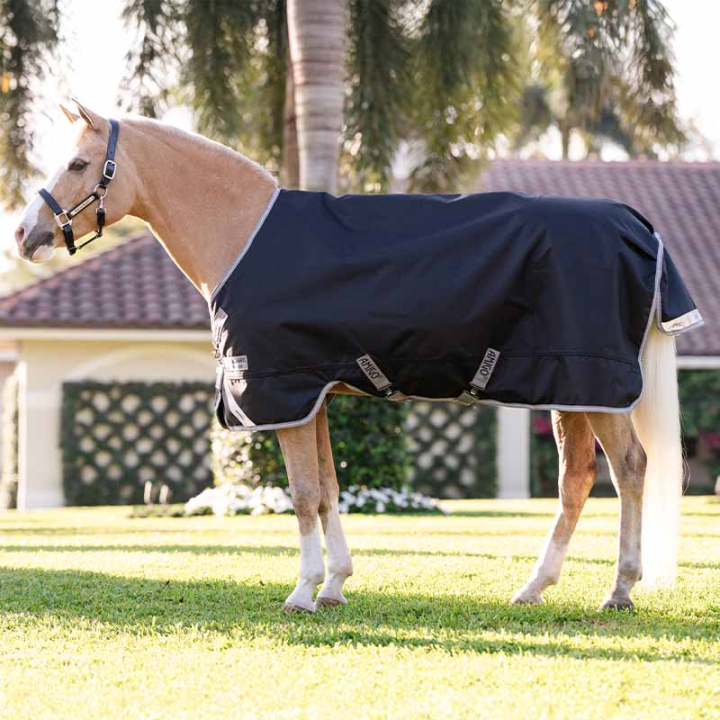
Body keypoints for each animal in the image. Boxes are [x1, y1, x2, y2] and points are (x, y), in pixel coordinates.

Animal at [14, 101, 686, 612]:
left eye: (78, 164)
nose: (23, 235)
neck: (243, 234)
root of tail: (636, 224)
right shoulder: (314, 397)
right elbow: (330, 488)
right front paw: (335, 584)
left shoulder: (283, 393)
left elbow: (303, 492)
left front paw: (303, 591)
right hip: (570, 388)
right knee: (578, 480)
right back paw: (533, 588)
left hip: (594, 384)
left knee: (629, 468)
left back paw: (619, 590)